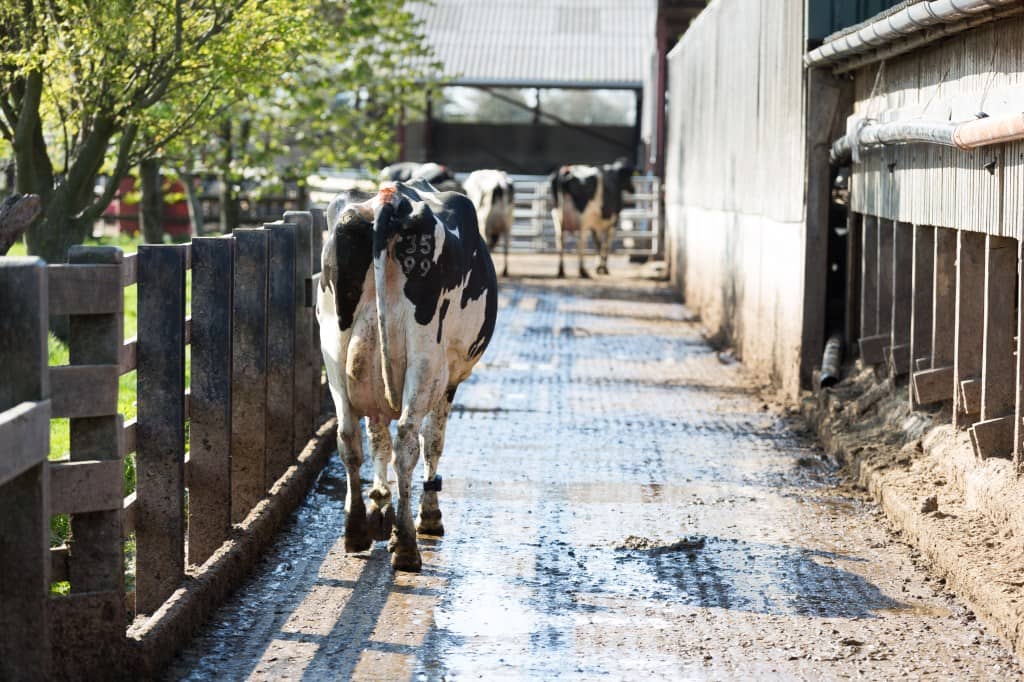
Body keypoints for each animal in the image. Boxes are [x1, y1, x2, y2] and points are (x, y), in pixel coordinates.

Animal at [317, 179, 497, 569]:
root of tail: (388, 200)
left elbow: (377, 438)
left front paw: (379, 504)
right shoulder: (450, 379)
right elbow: (434, 441)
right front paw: (427, 516)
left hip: (334, 349)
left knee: (349, 436)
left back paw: (356, 530)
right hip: (426, 360)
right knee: (407, 441)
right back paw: (407, 546)